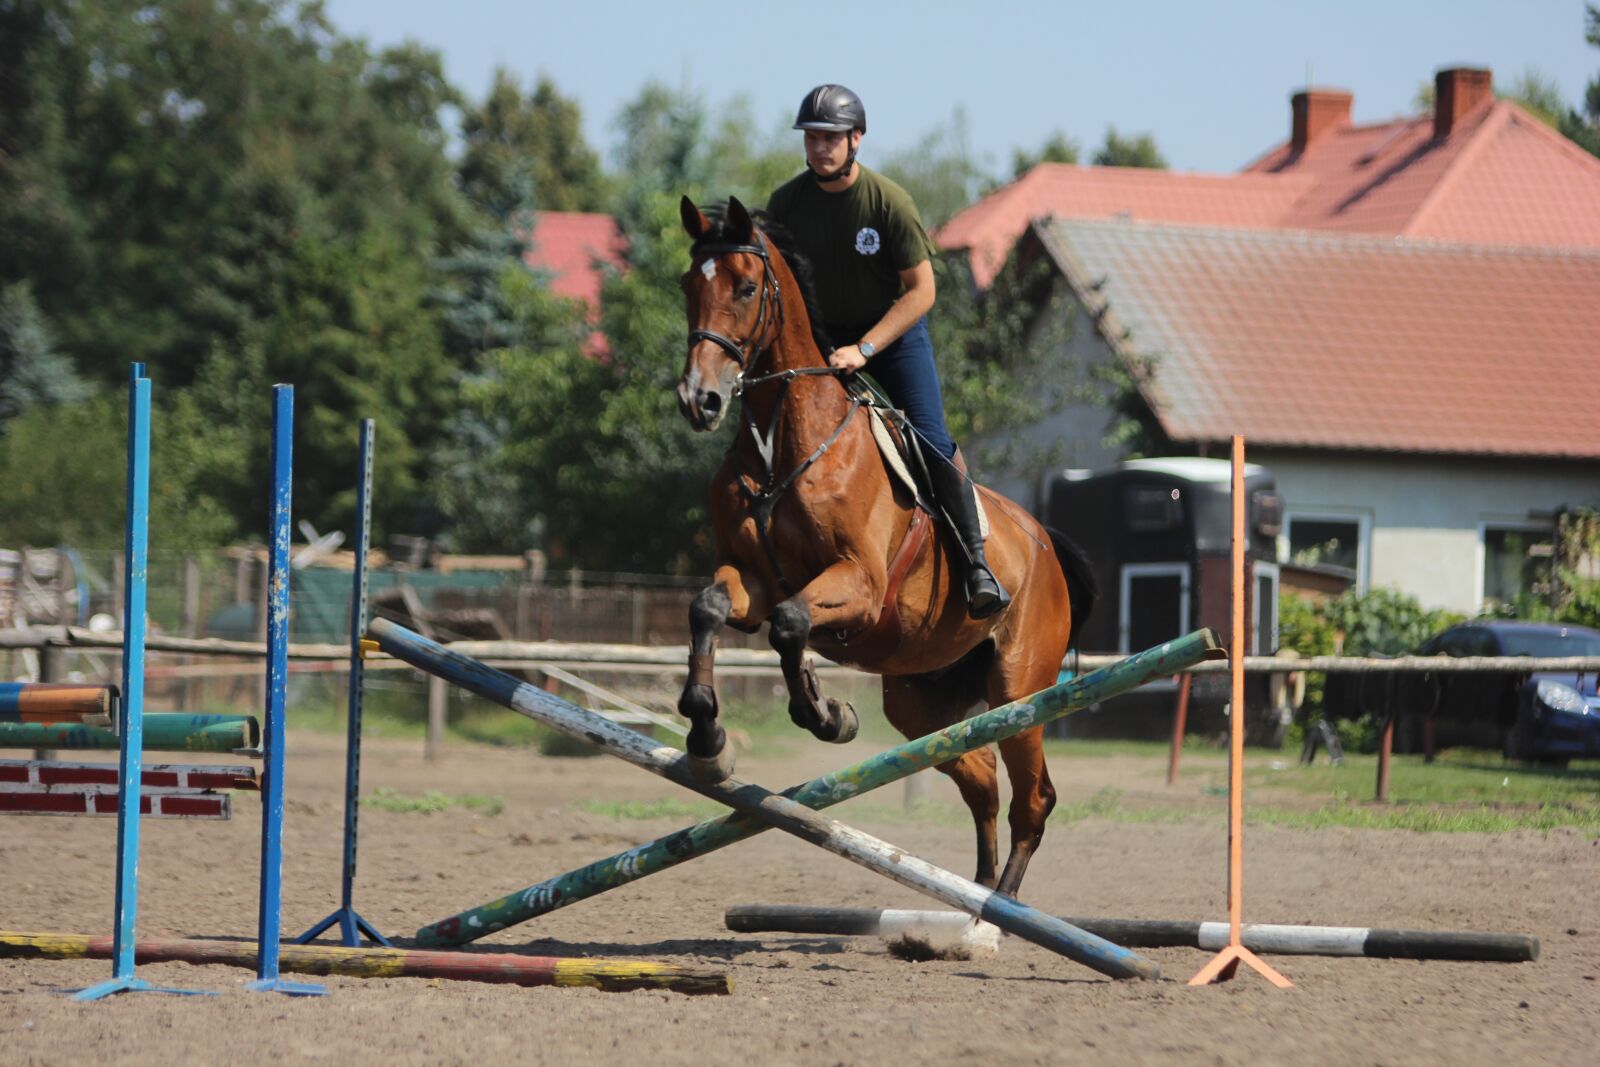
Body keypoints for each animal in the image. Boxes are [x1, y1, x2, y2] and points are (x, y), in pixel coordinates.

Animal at [674, 194, 1094, 900]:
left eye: (747, 287)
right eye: (687, 287)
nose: (698, 400)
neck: (782, 443)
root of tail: (1045, 543)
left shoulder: (860, 587)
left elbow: (790, 625)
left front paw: (825, 713)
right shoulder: (754, 581)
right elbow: (710, 608)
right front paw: (707, 733)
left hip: (1019, 689)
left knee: (1032, 798)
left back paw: (1002, 907)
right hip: (918, 698)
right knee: (980, 776)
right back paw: (972, 898)